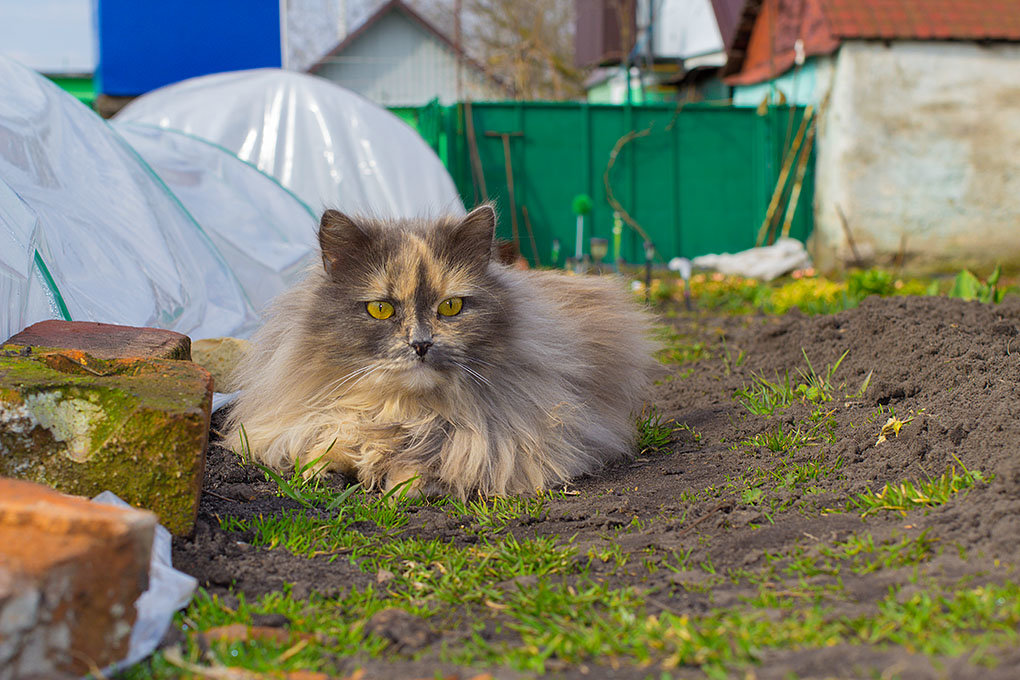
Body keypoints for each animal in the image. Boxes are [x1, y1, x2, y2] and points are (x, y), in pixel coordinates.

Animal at [223, 204, 660, 497]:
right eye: (380, 309)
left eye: (450, 307)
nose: (420, 343)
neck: (405, 411)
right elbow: (329, 440)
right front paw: (328, 469)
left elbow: (439, 462)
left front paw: (401, 485)